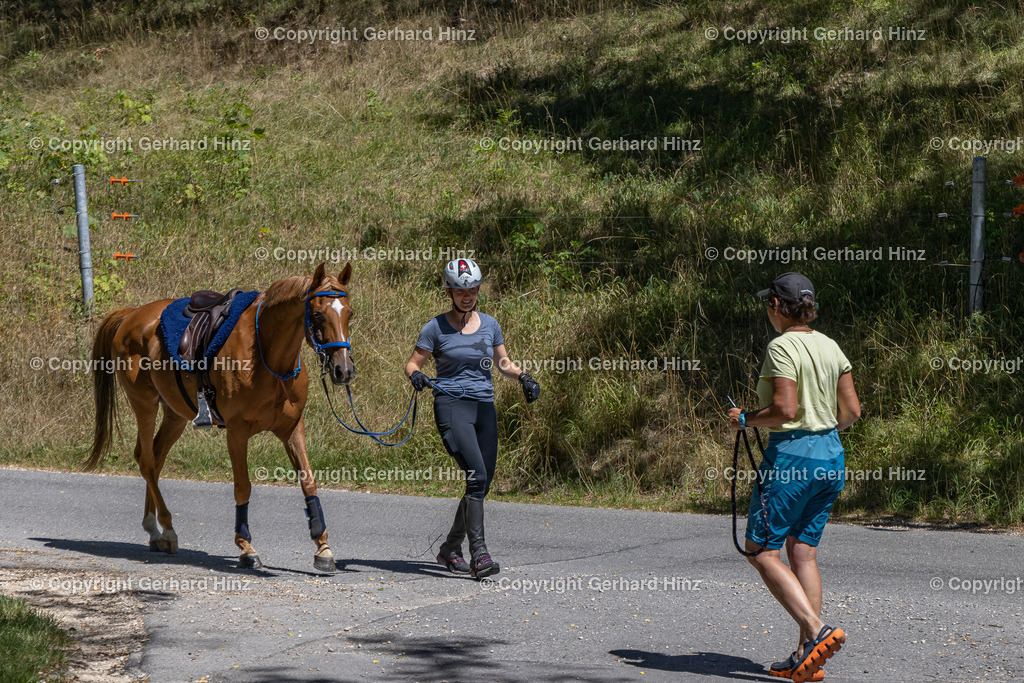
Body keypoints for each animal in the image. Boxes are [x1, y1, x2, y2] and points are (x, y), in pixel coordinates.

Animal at [84, 262, 356, 573]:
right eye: (318, 314)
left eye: (350, 313)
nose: (344, 370)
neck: (267, 358)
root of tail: (130, 315)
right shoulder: (236, 432)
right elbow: (243, 487)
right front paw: (246, 547)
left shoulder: (292, 428)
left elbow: (308, 481)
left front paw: (323, 547)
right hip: (144, 404)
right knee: (148, 461)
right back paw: (165, 529)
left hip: (174, 414)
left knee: (154, 458)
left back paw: (155, 532)